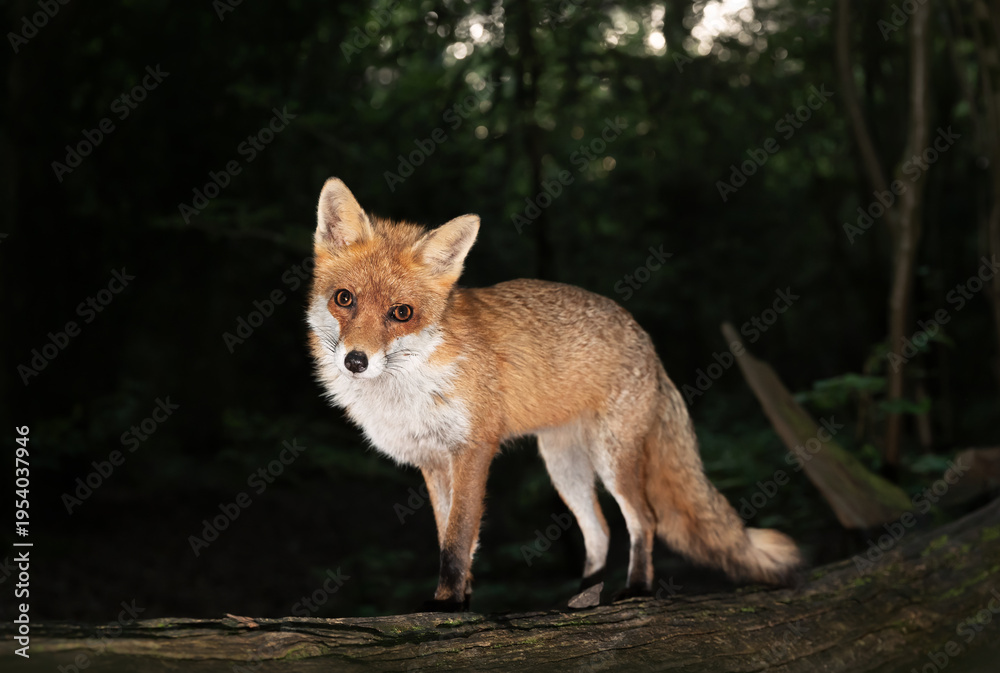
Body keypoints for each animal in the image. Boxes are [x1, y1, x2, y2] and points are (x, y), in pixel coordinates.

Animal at [306, 177, 802, 611]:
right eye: (344, 299)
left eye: (401, 313)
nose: (355, 361)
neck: (409, 383)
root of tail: (647, 341)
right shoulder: (433, 460)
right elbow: (452, 539)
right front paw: (461, 601)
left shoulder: (473, 450)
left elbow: (458, 538)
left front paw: (446, 607)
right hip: (565, 468)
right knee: (600, 531)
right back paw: (581, 596)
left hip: (611, 459)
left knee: (643, 519)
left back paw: (635, 589)